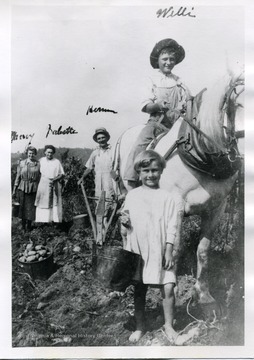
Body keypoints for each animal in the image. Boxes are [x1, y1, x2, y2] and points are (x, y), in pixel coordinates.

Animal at [113, 72, 244, 310]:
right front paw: (170, 294)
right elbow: (174, 251)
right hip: (125, 193)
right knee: (126, 230)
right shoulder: (176, 207)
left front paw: (204, 295)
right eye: (239, 104)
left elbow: (203, 250)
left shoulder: (217, 208)